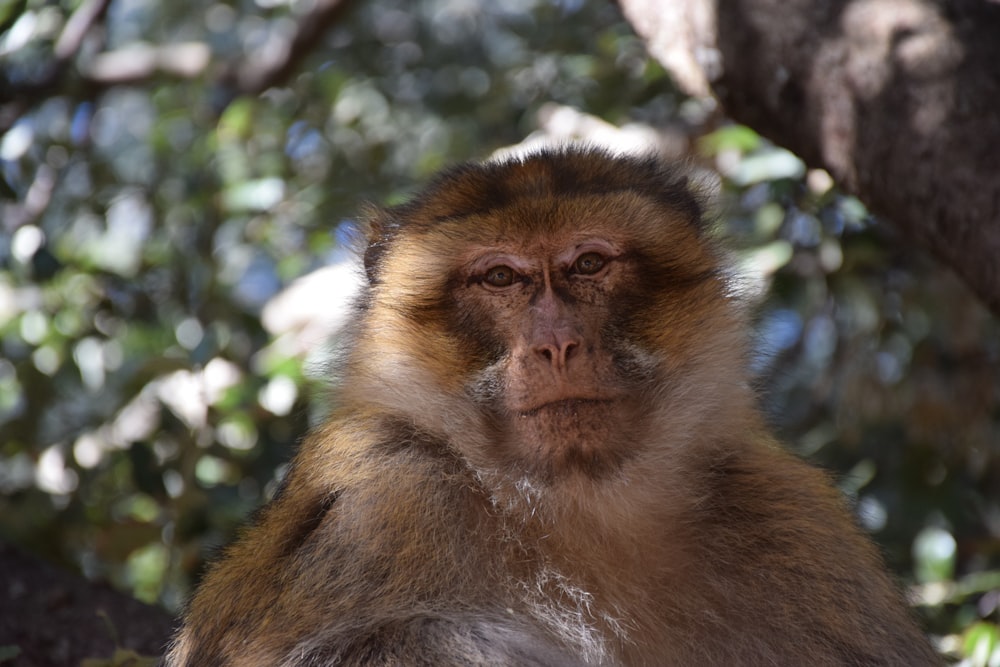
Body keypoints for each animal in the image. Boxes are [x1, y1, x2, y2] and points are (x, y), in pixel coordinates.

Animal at [164, 147, 936, 667]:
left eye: (588, 264)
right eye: (501, 277)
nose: (556, 343)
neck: (576, 508)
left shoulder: (793, 514)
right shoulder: (379, 491)